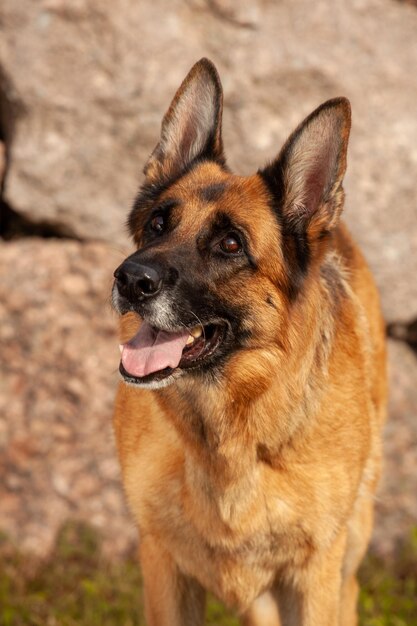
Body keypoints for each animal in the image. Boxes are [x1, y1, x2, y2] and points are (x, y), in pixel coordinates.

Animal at [111, 59, 386, 624]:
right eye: (157, 223)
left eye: (230, 244)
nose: (128, 279)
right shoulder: (162, 564)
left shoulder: (314, 575)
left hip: (350, 547)